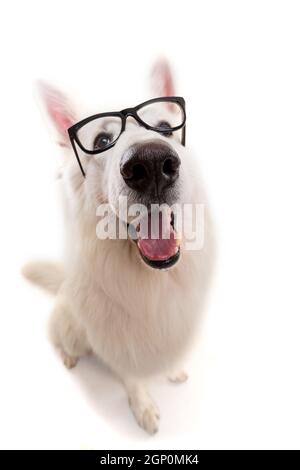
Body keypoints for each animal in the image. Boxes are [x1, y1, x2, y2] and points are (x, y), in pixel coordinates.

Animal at [22, 59, 213, 436]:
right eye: (103, 140)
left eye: (165, 127)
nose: (151, 164)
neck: (149, 280)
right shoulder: (117, 339)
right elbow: (132, 376)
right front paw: (143, 407)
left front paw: (171, 369)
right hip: (71, 327)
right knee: (57, 335)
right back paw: (67, 355)